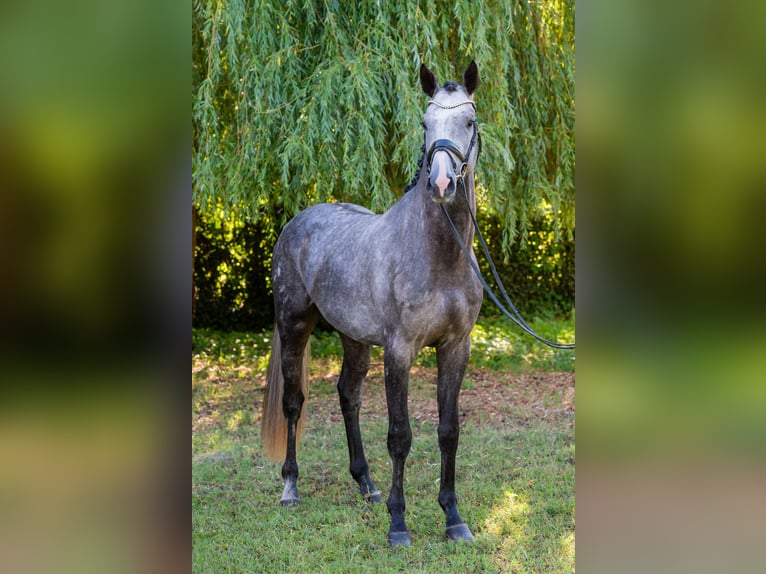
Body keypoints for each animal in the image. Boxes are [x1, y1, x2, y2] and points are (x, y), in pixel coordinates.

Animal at [261, 61, 483, 548]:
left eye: (469, 122)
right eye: (425, 123)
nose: (442, 183)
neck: (440, 255)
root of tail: (297, 222)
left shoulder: (455, 348)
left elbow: (449, 432)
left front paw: (453, 518)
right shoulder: (399, 352)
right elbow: (400, 436)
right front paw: (398, 524)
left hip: (354, 339)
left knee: (349, 395)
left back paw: (366, 484)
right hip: (294, 325)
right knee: (293, 402)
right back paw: (290, 487)